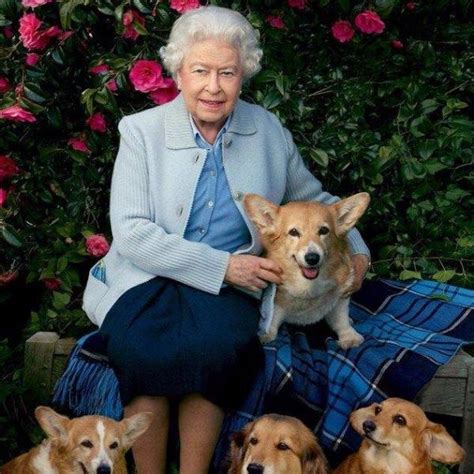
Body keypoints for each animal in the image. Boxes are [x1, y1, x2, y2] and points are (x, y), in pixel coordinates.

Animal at [244, 193, 370, 348]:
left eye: (323, 230)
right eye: (293, 232)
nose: (312, 258)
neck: (308, 286)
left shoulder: (340, 296)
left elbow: (341, 319)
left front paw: (349, 337)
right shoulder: (277, 301)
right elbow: (273, 317)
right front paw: (266, 333)